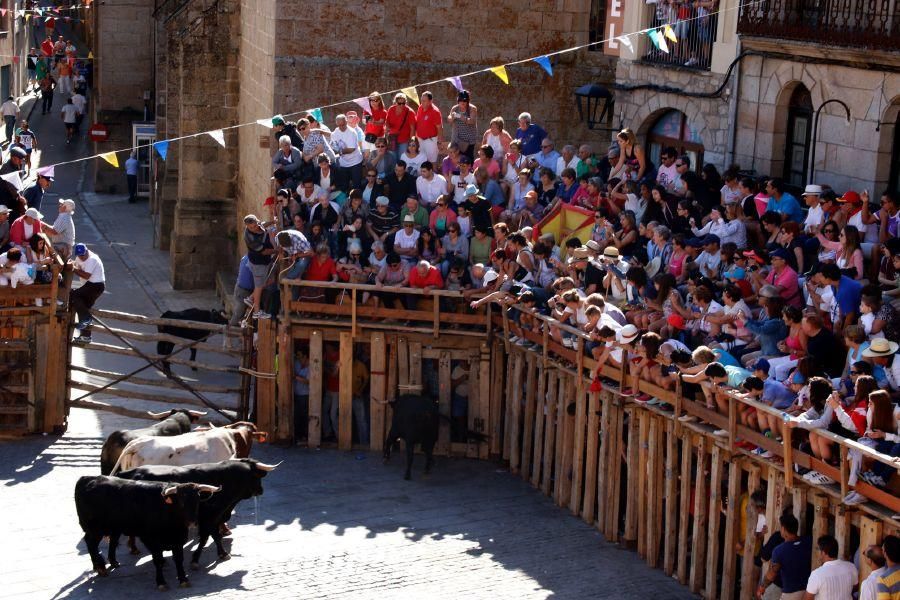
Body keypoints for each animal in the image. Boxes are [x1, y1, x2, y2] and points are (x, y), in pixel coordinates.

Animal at [74, 478, 221, 592]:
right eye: (181, 501)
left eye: (197, 500)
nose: (192, 522)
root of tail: (87, 478)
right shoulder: (152, 541)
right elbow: (158, 561)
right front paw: (161, 583)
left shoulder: (178, 540)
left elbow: (179, 560)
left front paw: (183, 579)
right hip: (95, 529)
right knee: (91, 543)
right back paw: (100, 567)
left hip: (113, 528)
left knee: (111, 541)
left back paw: (111, 563)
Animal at [116, 460, 280, 568]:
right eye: (256, 476)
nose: (261, 490)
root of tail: (128, 472)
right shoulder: (210, 517)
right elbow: (208, 536)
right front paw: (200, 558)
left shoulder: (211, 518)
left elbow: (211, 535)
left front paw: (217, 553)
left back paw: (133, 549)